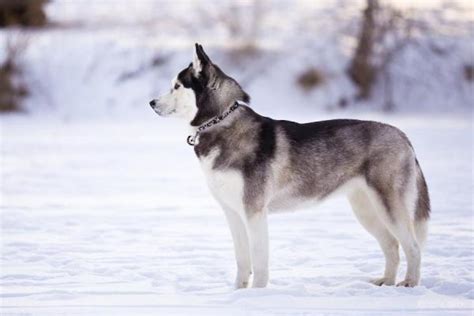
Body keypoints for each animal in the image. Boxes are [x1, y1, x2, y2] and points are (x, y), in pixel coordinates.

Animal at [150, 43, 432, 288]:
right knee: (392, 246)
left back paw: (410, 283)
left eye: (176, 86)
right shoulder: (233, 213)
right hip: (366, 210)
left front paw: (257, 295)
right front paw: (238, 292)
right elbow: (242, 260)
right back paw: (387, 281)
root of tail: (403, 135)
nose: (151, 102)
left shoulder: (254, 212)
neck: (220, 122)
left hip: (389, 207)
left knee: (413, 247)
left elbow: (259, 261)